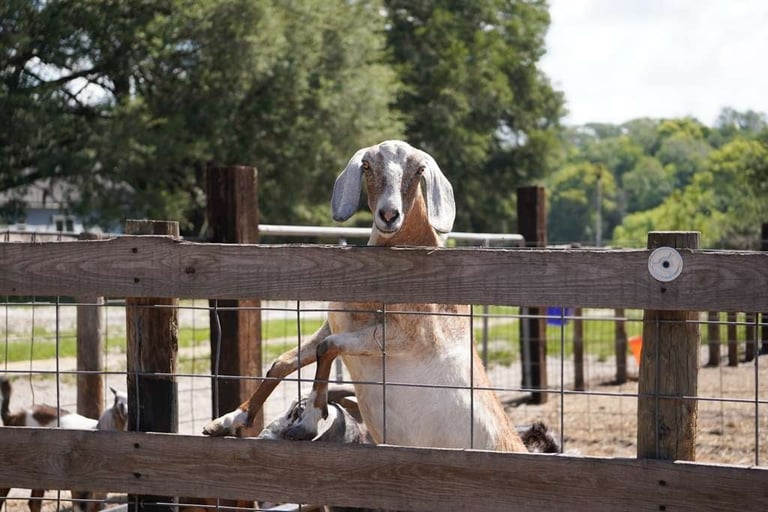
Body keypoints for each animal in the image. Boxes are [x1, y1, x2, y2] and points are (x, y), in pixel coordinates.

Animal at [203, 139, 527, 453]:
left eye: (419, 170)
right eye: (368, 166)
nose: (389, 215)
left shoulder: (402, 338)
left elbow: (327, 348)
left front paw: (308, 421)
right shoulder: (336, 323)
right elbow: (283, 361)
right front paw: (227, 420)